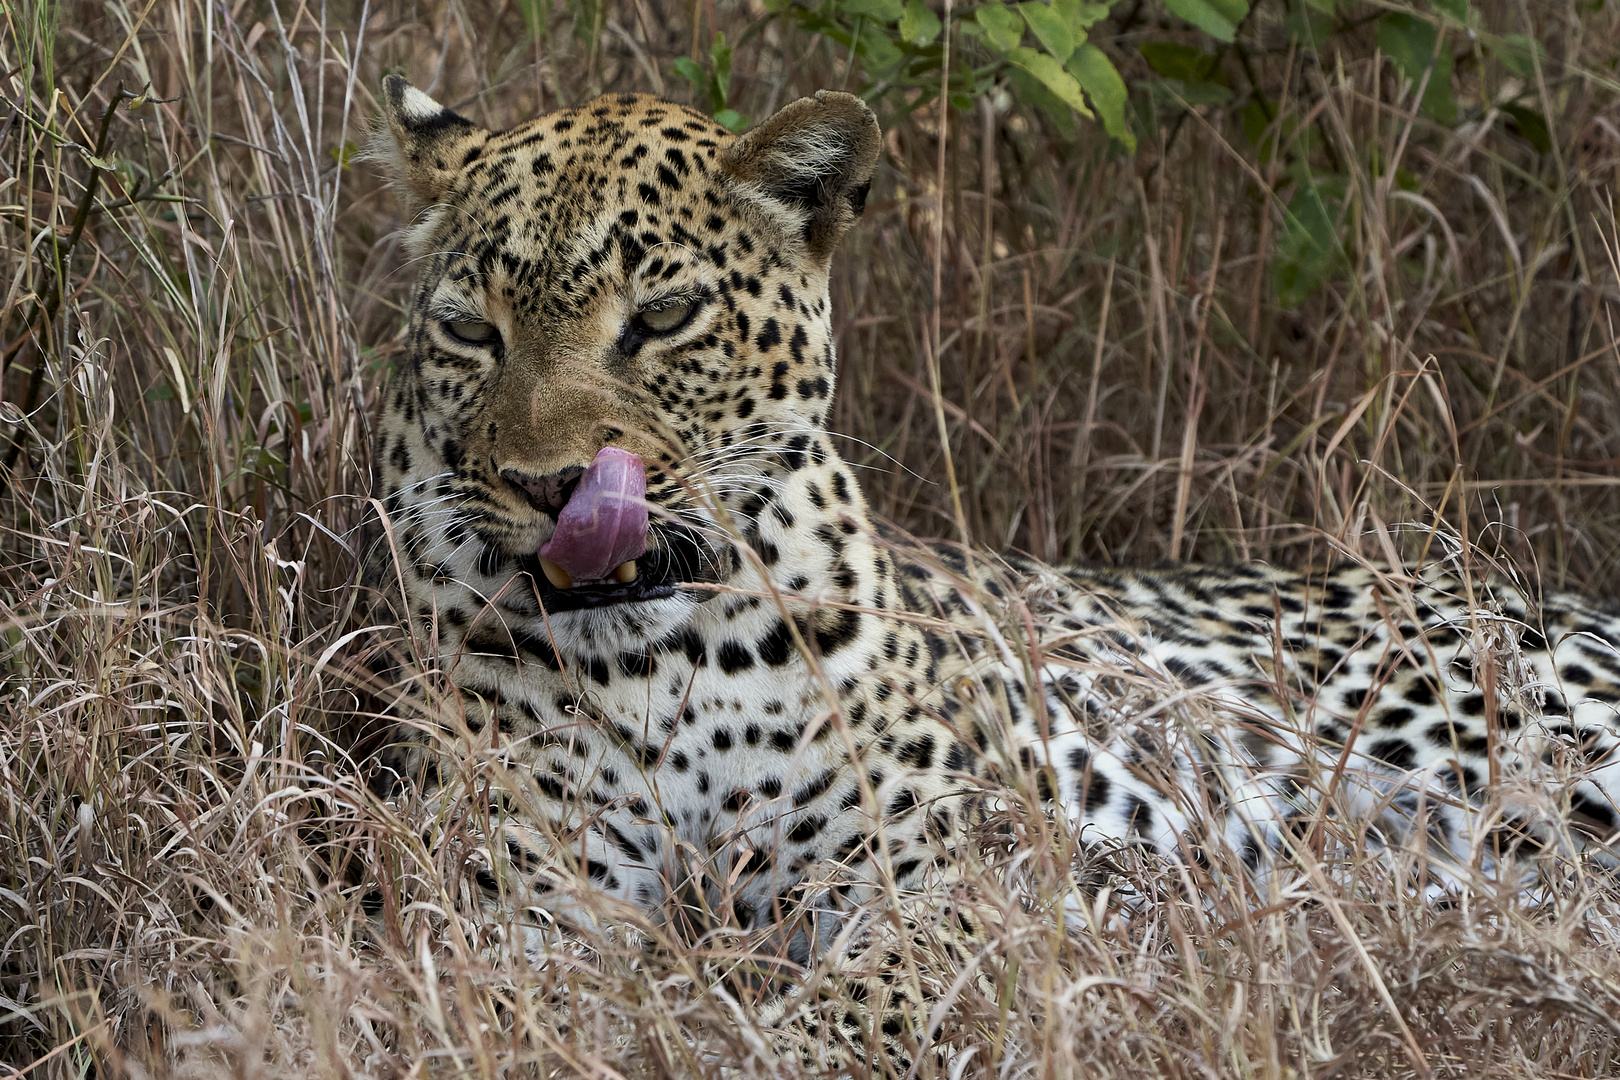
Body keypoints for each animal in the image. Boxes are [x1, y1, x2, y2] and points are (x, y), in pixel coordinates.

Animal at [367, 69, 1620, 1062]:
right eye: (472, 331)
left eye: (665, 316)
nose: (549, 486)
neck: (667, 666)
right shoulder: (507, 905)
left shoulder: (965, 876)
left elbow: (857, 1004)